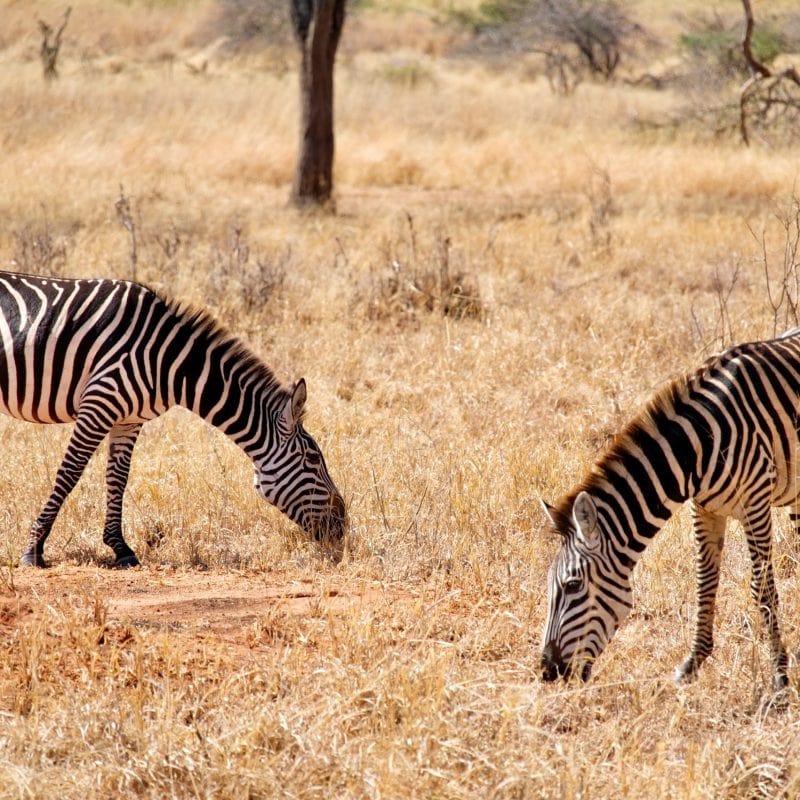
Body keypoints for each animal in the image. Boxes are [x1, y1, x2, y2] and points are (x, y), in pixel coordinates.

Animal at [0, 270, 346, 568]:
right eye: (313, 459)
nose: (343, 526)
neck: (169, 361)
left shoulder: (127, 418)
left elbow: (118, 478)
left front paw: (120, 548)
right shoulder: (99, 402)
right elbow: (69, 473)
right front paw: (34, 548)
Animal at [540, 329, 800, 693]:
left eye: (573, 585)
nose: (547, 671)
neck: (698, 445)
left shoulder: (755, 504)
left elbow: (761, 589)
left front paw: (779, 677)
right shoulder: (704, 508)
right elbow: (705, 581)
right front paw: (692, 665)